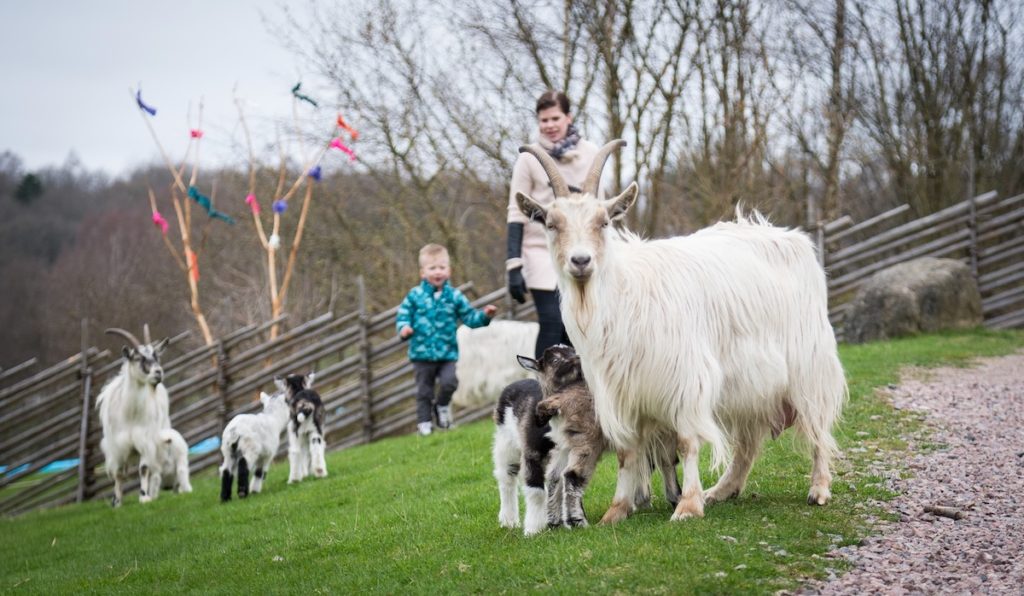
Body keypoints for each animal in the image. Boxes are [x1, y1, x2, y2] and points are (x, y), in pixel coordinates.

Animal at [96, 329, 169, 507]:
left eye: (156, 356)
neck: (131, 415)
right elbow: (118, 472)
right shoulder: (117, 446)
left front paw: (144, 497)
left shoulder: (146, 441)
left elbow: (144, 468)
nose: (158, 372)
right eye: (138, 357)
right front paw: (116, 501)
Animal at [512, 142, 847, 524]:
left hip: (808, 364)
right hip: (750, 385)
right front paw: (617, 510)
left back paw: (818, 488)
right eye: (552, 224)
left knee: (817, 424)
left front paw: (687, 505)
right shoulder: (619, 391)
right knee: (748, 441)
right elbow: (628, 452)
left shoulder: (687, 377)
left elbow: (687, 442)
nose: (581, 261)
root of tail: (793, 238)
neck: (622, 294)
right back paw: (723, 489)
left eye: (603, 222)